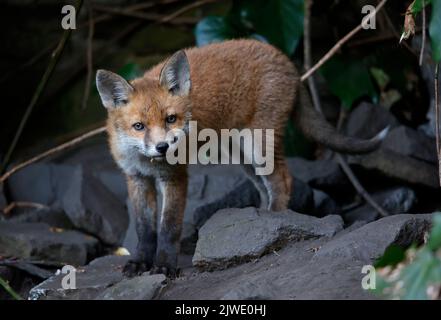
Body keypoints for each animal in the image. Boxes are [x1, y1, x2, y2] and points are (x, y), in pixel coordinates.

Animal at [95, 39, 384, 276]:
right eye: (139, 126)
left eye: (170, 119)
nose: (164, 147)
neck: (147, 162)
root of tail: (284, 59)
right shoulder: (137, 179)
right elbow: (144, 229)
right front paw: (140, 262)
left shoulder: (174, 177)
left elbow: (168, 227)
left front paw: (164, 265)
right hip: (241, 156)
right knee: (264, 186)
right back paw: (258, 220)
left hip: (258, 146)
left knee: (283, 180)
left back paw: (276, 221)